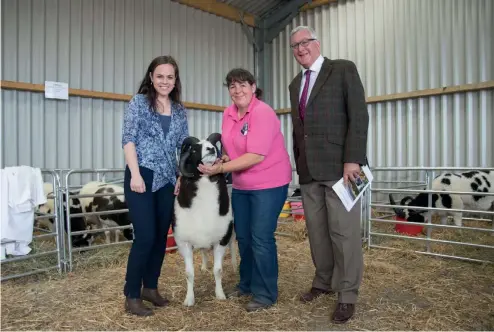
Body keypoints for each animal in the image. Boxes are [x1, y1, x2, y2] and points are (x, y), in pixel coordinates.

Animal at [172, 132, 237, 306]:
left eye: (213, 144)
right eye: (194, 149)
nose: (211, 149)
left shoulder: (221, 239)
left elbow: (218, 270)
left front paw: (220, 294)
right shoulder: (184, 243)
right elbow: (189, 273)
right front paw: (189, 299)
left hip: (232, 232)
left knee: (233, 247)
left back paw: (235, 266)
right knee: (203, 251)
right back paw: (204, 266)